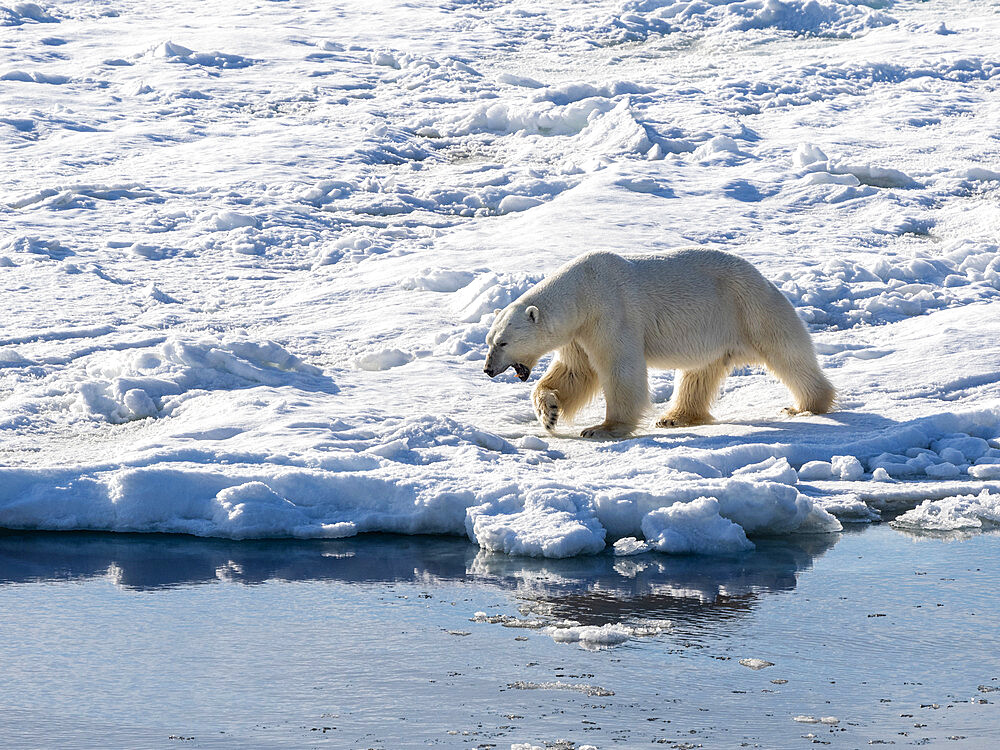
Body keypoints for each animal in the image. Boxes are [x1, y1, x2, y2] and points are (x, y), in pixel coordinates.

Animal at [484, 251, 836, 440]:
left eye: (503, 341)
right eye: (489, 341)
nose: (488, 369)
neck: (582, 291)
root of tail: (763, 276)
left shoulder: (610, 313)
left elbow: (619, 369)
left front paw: (602, 428)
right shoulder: (578, 333)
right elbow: (574, 372)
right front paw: (549, 413)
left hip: (749, 308)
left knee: (787, 353)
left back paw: (804, 405)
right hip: (712, 329)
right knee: (699, 372)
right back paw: (674, 417)